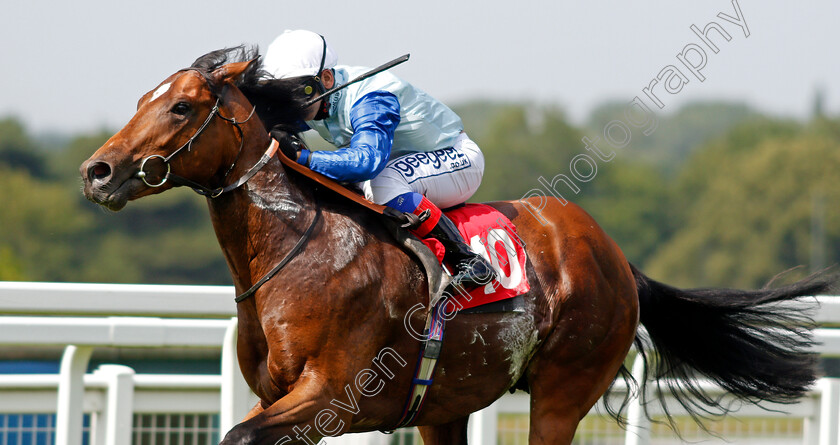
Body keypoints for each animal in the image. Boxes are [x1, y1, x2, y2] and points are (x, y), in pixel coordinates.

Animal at [80, 46, 832, 442]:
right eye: (144, 98)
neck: (295, 256)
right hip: (445, 405)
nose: (98, 171)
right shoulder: (282, 397)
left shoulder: (329, 397)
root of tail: (616, 256)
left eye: (180, 106)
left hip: (562, 390)